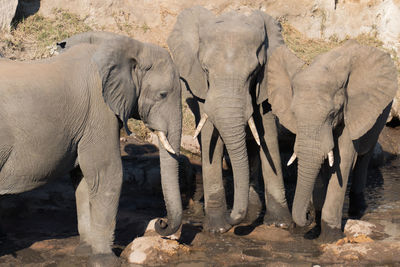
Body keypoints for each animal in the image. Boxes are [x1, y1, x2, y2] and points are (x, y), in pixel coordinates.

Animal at [0, 31, 182, 266]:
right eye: (163, 94)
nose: (161, 223)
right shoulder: (99, 110)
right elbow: (107, 174)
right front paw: (106, 260)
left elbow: (83, 180)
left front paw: (85, 251)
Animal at [167, 5, 292, 233]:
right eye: (206, 69)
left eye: (254, 72)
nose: (232, 217)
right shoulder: (202, 89)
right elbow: (211, 137)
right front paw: (217, 228)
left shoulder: (265, 81)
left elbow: (267, 135)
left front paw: (280, 224)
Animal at [268, 40, 398, 244]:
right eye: (294, 114)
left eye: (331, 114)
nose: (306, 218)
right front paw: (315, 228)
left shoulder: (350, 109)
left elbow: (341, 159)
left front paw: (329, 236)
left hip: (380, 110)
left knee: (365, 154)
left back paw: (357, 210)